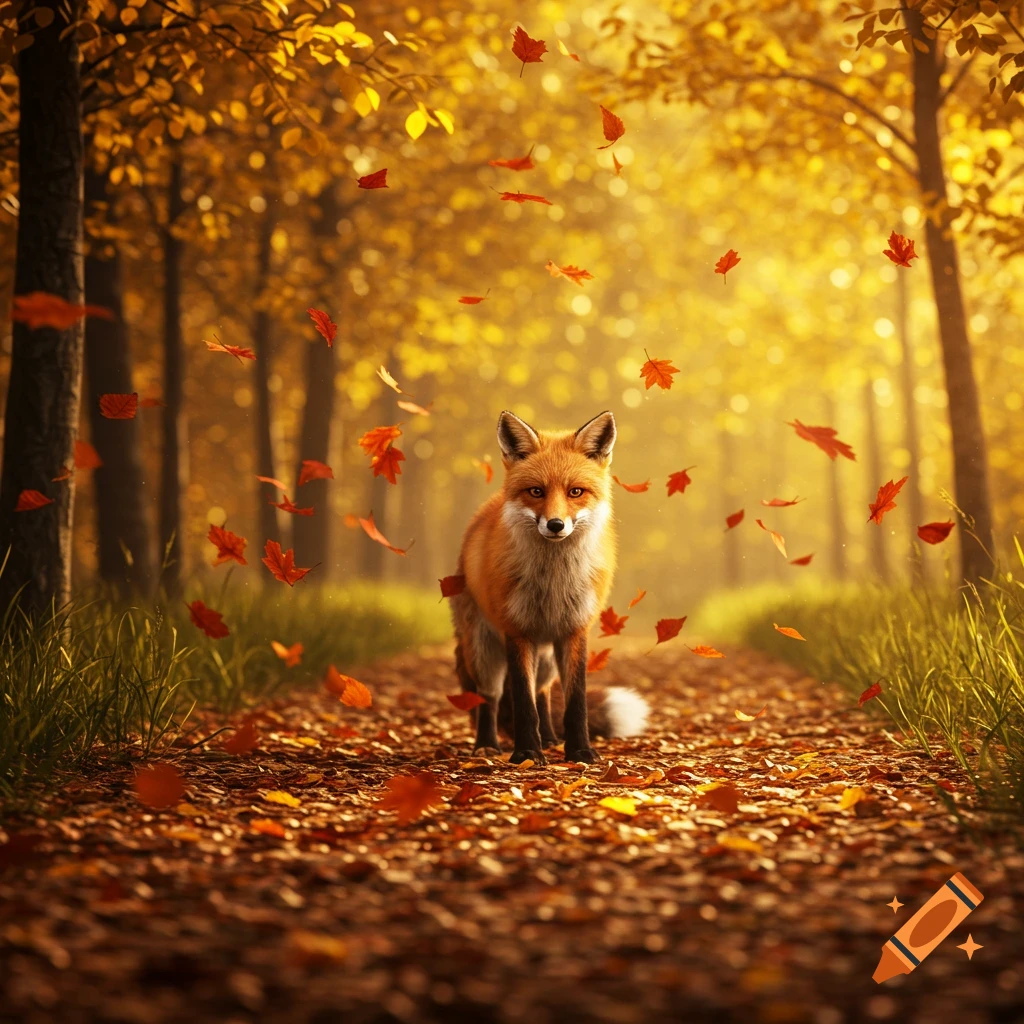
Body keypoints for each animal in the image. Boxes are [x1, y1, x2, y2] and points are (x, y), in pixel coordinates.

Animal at [450, 409, 649, 765]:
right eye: (536, 491)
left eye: (575, 492)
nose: (556, 525)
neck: (553, 583)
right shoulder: (517, 632)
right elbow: (523, 703)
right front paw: (527, 753)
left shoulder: (574, 631)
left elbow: (575, 702)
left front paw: (580, 750)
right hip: (485, 652)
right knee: (491, 699)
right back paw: (487, 744)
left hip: (546, 658)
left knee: (543, 693)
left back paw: (553, 739)